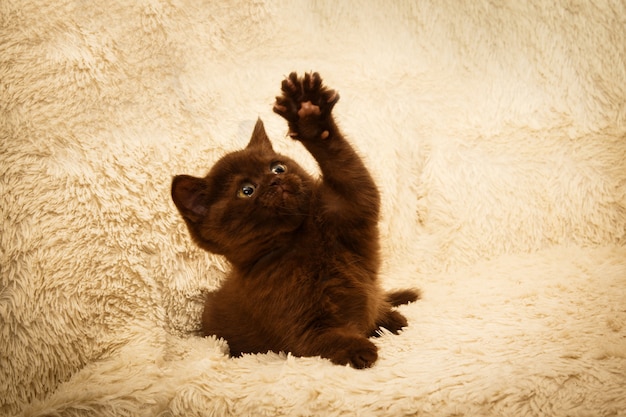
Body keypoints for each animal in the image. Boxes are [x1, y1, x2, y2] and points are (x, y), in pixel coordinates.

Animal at [169, 71, 420, 368]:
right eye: (246, 190)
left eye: (277, 167)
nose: (276, 181)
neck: (298, 240)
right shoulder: (301, 330)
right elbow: (325, 339)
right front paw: (359, 350)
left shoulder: (348, 211)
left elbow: (352, 177)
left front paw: (309, 118)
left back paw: (389, 317)